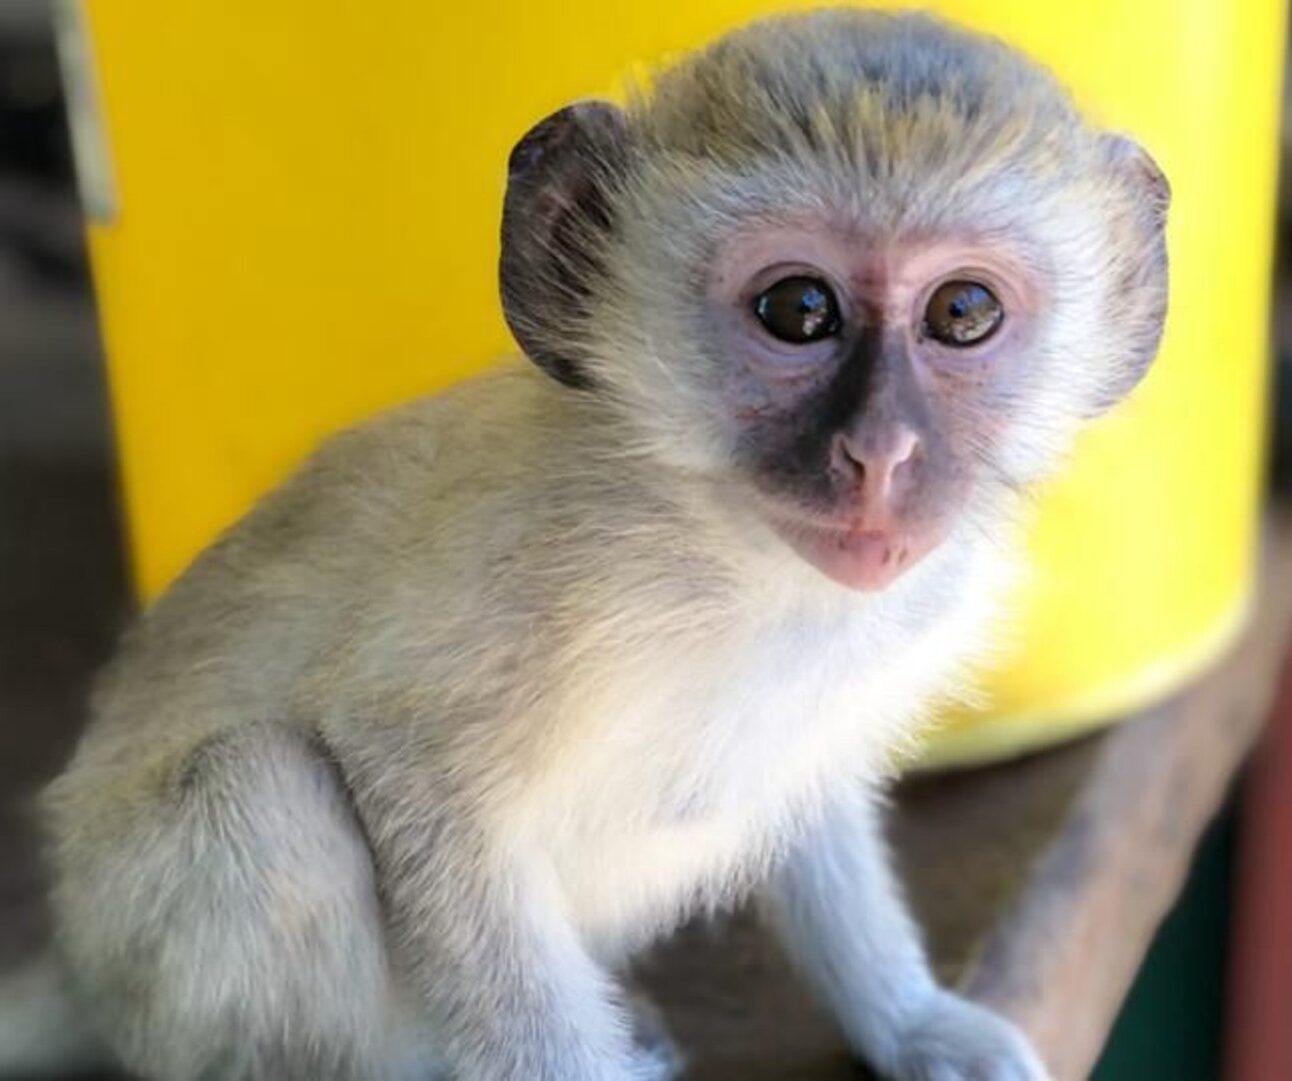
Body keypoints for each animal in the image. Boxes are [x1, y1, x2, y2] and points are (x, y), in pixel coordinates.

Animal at [17, 10, 1173, 1079]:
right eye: (798, 309)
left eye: (961, 311)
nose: (880, 455)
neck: (728, 547)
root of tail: (76, 960)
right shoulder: (532, 588)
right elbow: (409, 772)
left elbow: (812, 797)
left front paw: (911, 1019)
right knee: (264, 790)